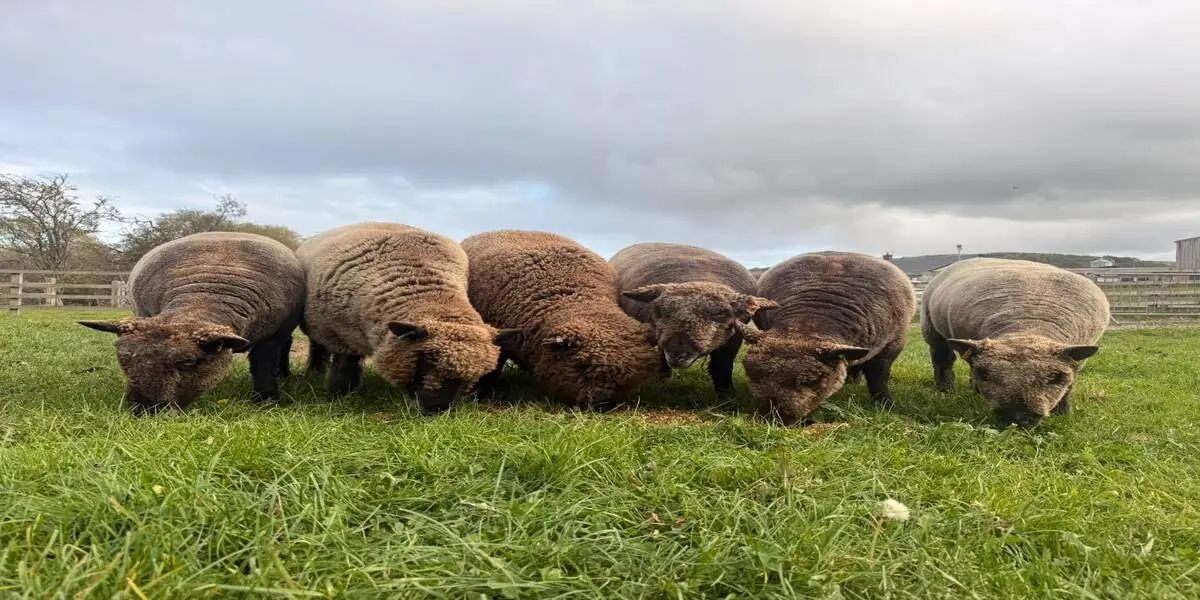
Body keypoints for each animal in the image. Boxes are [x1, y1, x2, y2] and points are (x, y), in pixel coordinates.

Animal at [79, 231, 304, 415]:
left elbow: (263, 364)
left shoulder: (274, 334)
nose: (146, 410)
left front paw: (266, 400)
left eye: (188, 362)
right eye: (123, 360)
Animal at [296, 222, 518, 415]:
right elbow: (344, 368)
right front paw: (339, 396)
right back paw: (315, 372)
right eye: (428, 360)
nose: (436, 411)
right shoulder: (339, 335)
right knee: (317, 348)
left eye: (473, 377)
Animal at [610, 242, 778, 394]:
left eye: (721, 314)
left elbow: (722, 367)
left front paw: (727, 394)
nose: (677, 354)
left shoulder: (733, 339)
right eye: (658, 310)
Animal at [743, 251, 915, 426]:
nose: (775, 419)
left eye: (814, 379)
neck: (809, 320)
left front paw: (885, 404)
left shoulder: (892, 344)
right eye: (749, 372)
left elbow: (878, 376)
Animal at [920, 257, 1110, 429]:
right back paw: (945, 389)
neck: (1029, 323)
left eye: (1056, 377)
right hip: (932, 328)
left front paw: (1063, 413)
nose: (1017, 418)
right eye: (984, 373)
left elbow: (1069, 386)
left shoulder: (1077, 361)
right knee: (942, 359)